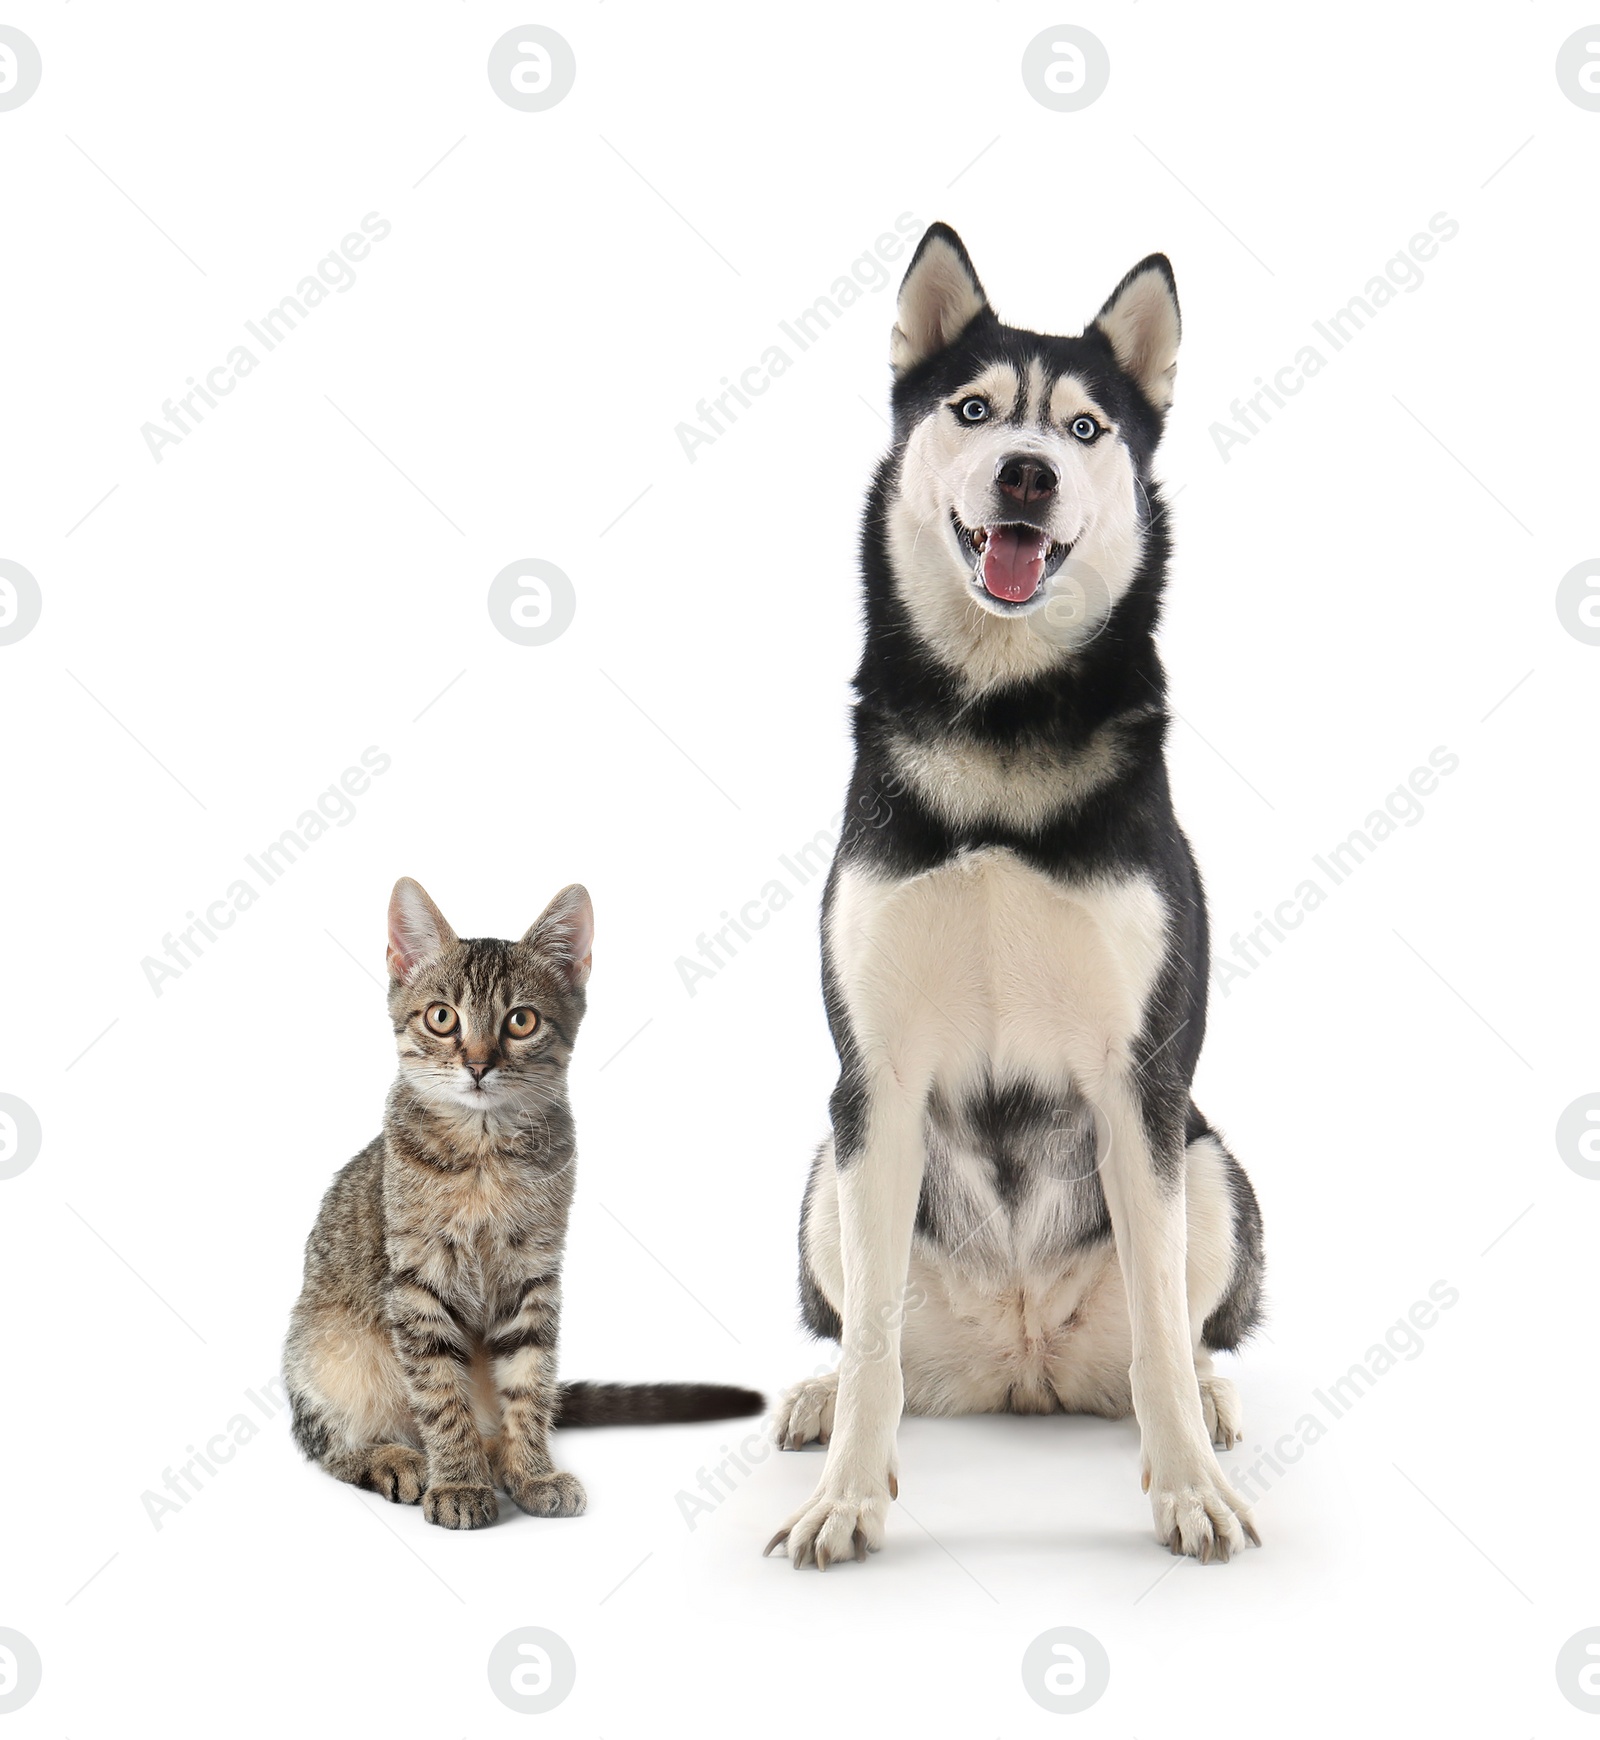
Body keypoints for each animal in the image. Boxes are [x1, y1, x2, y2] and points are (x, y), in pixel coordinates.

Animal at [285, 876, 761, 1531]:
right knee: (330, 1444)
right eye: (442, 1017)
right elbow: (440, 1393)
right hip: (321, 1351)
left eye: (521, 1021)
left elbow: (530, 1382)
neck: (485, 1155)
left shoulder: (533, 1274)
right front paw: (458, 1480)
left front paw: (529, 1467)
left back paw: (497, 1455)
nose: (478, 1064)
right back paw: (394, 1458)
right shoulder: (416, 1283)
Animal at [768, 224, 1266, 1572]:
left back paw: (1206, 1406)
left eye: (1086, 427)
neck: (999, 722)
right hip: (828, 1176)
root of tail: (1021, 1358)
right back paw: (820, 1401)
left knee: (1170, 1329)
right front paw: (847, 1494)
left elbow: (1159, 1335)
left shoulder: (1140, 1082)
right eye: (975, 409)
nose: (1028, 473)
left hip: (1209, 1164)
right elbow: (870, 1344)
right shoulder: (874, 1083)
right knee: (870, 1330)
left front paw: (1186, 1487)